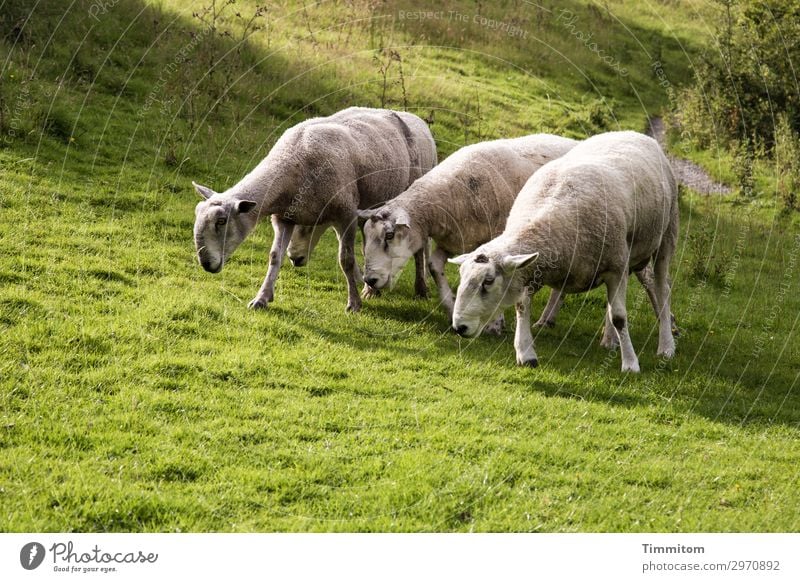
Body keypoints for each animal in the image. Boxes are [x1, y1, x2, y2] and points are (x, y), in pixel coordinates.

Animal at [191, 106, 434, 312]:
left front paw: (354, 304)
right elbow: (274, 256)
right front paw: (261, 298)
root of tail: (416, 119)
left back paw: (420, 288)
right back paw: (370, 287)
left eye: (221, 221)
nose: (206, 264)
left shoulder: (346, 214)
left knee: (419, 245)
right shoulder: (284, 218)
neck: (292, 162)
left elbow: (345, 259)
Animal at [356, 134, 576, 330]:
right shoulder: (452, 240)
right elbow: (434, 266)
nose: (369, 280)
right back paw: (547, 320)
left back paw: (546, 319)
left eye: (389, 235)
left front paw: (495, 324)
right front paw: (451, 307)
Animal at [450, 131, 676, 374]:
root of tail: (631, 133)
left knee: (662, 289)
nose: (459, 327)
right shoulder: (532, 270)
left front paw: (631, 364)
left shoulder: (615, 266)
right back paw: (609, 340)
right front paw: (526, 353)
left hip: (667, 233)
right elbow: (522, 305)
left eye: (488, 281)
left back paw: (666, 346)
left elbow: (619, 317)